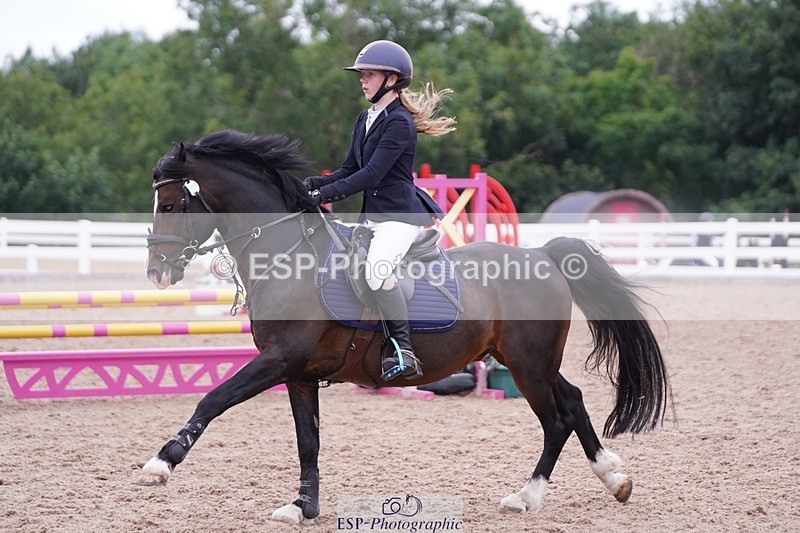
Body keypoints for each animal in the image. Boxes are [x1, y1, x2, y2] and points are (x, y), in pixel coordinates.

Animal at [139, 129, 671, 525]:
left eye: (172, 206)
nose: (157, 273)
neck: (288, 257)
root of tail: (541, 254)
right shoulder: (298, 374)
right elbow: (308, 440)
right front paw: (302, 506)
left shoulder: (277, 360)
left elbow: (213, 400)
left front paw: (160, 464)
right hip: (523, 359)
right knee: (574, 401)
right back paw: (614, 478)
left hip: (528, 365)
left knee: (556, 419)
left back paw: (527, 497)